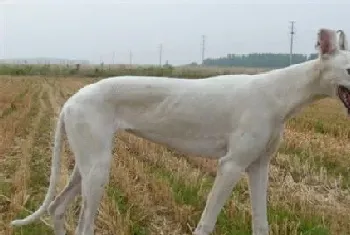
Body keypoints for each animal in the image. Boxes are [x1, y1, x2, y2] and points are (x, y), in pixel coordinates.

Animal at [10, 28, 350, 235]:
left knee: (56, 208)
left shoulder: (258, 167)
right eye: (348, 68)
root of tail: (70, 101)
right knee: (82, 224)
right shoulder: (231, 165)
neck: (279, 92)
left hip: (87, 164)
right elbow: (207, 223)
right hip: (97, 168)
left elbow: (261, 224)